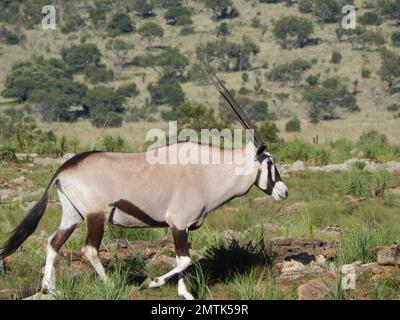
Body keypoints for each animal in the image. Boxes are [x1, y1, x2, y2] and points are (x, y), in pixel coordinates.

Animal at [0, 74, 288, 298]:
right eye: (269, 161)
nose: (283, 191)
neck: (207, 172)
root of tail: (64, 168)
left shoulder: (180, 228)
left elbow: (181, 260)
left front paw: (184, 294)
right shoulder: (178, 223)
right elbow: (185, 260)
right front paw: (150, 282)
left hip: (72, 215)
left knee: (53, 243)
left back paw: (51, 289)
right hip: (96, 215)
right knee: (89, 249)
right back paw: (110, 285)